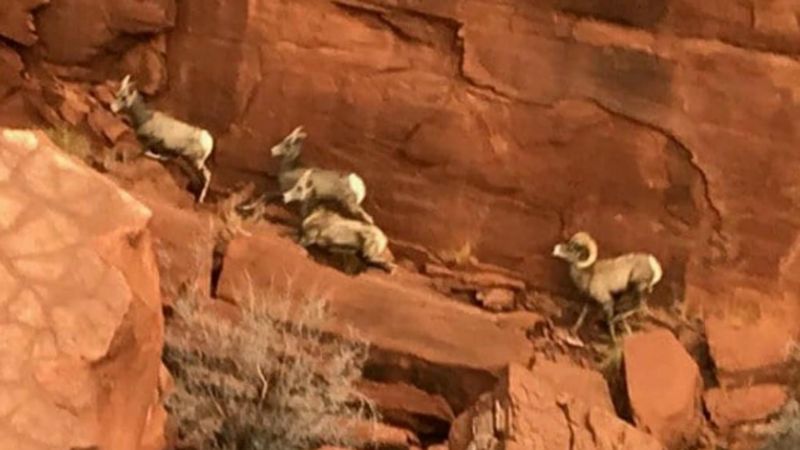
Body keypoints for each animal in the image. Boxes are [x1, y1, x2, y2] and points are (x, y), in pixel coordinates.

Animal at [111, 74, 216, 204]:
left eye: (124, 97)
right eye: (118, 94)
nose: (112, 108)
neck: (145, 118)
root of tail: (208, 140)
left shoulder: (151, 142)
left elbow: (143, 152)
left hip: (195, 161)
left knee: (207, 175)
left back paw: (200, 200)